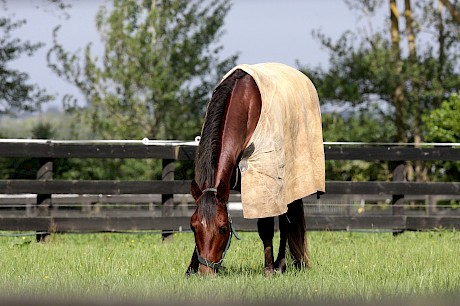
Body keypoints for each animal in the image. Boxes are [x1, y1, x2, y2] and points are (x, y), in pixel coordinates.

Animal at [186, 62, 324, 274]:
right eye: (193, 227)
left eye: (223, 228)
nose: (206, 272)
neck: (244, 104)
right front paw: (190, 270)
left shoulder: (262, 181)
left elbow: (266, 227)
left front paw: (268, 270)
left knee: (285, 223)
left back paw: (280, 264)